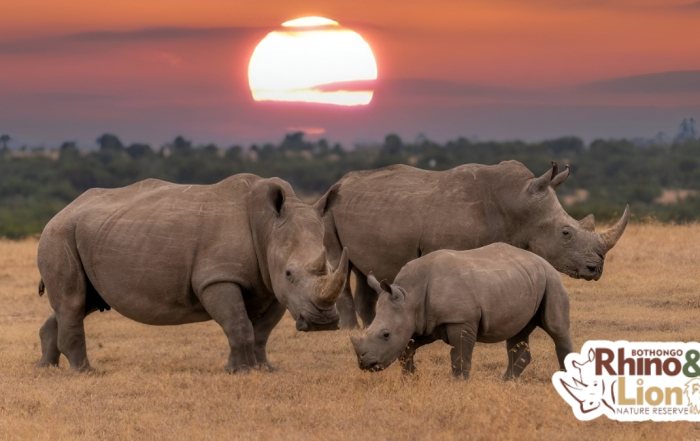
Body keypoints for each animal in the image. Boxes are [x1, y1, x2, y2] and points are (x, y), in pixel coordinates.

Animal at [36, 175, 348, 372]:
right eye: (289, 273)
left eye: (332, 267)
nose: (323, 323)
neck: (268, 227)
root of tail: (64, 210)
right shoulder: (218, 278)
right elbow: (238, 324)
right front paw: (241, 371)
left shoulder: (270, 286)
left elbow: (261, 332)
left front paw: (264, 369)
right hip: (59, 234)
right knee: (73, 302)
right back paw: (85, 371)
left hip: (88, 233)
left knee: (81, 302)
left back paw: (46, 368)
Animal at [315, 160, 629, 328]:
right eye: (565, 233)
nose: (596, 269)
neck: (518, 204)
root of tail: (337, 182)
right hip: (328, 209)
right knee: (340, 261)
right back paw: (348, 330)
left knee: (362, 268)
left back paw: (370, 325)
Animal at [350, 243, 574, 380]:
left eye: (386, 334)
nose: (365, 364)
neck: (409, 295)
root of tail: (543, 260)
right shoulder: (422, 321)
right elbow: (407, 349)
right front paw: (410, 378)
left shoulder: (460, 320)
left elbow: (460, 354)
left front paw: (458, 383)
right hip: (522, 280)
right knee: (517, 332)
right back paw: (506, 381)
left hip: (551, 279)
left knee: (556, 329)